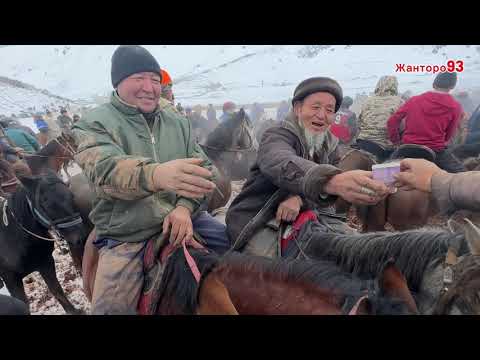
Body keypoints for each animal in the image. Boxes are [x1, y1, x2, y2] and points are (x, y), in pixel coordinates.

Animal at [0, 167, 88, 316]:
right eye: (45, 203)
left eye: (71, 196)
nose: (80, 237)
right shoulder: (11, 279)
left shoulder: (45, 264)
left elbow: (57, 290)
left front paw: (73, 311)